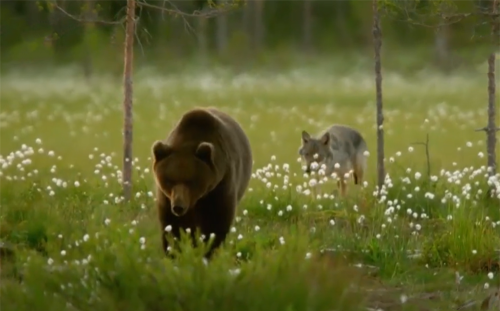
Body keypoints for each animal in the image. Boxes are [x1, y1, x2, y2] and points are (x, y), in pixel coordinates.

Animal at [151, 107, 254, 260]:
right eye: (170, 180)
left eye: (191, 181)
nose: (178, 206)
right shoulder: (166, 198)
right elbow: (171, 226)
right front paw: (175, 252)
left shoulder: (220, 186)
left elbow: (216, 222)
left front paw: (208, 251)